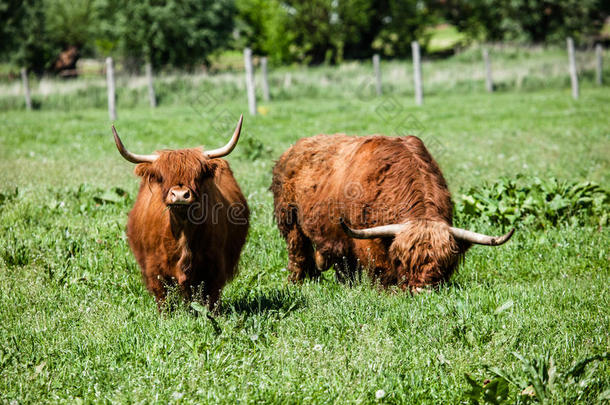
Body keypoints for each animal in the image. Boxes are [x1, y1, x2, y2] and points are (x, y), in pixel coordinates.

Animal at [113, 115, 248, 308]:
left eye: (198, 175)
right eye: (162, 177)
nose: (179, 195)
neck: (183, 231)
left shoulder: (215, 267)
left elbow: (210, 300)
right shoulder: (155, 269)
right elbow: (163, 300)